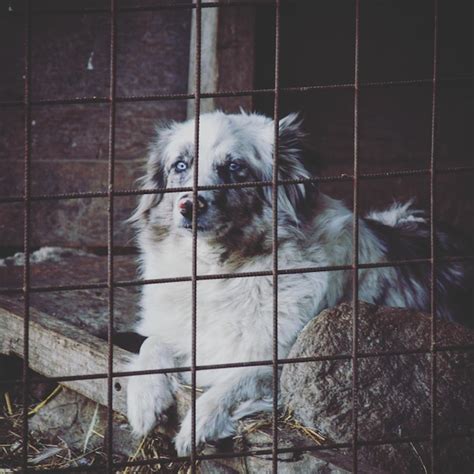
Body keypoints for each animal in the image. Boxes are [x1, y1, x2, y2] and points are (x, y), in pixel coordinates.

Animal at [128, 110, 472, 456]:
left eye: (235, 167)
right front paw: (144, 400)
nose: (188, 205)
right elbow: (152, 343)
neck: (223, 271)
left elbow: (237, 382)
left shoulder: (281, 364)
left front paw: (200, 423)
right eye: (180, 166)